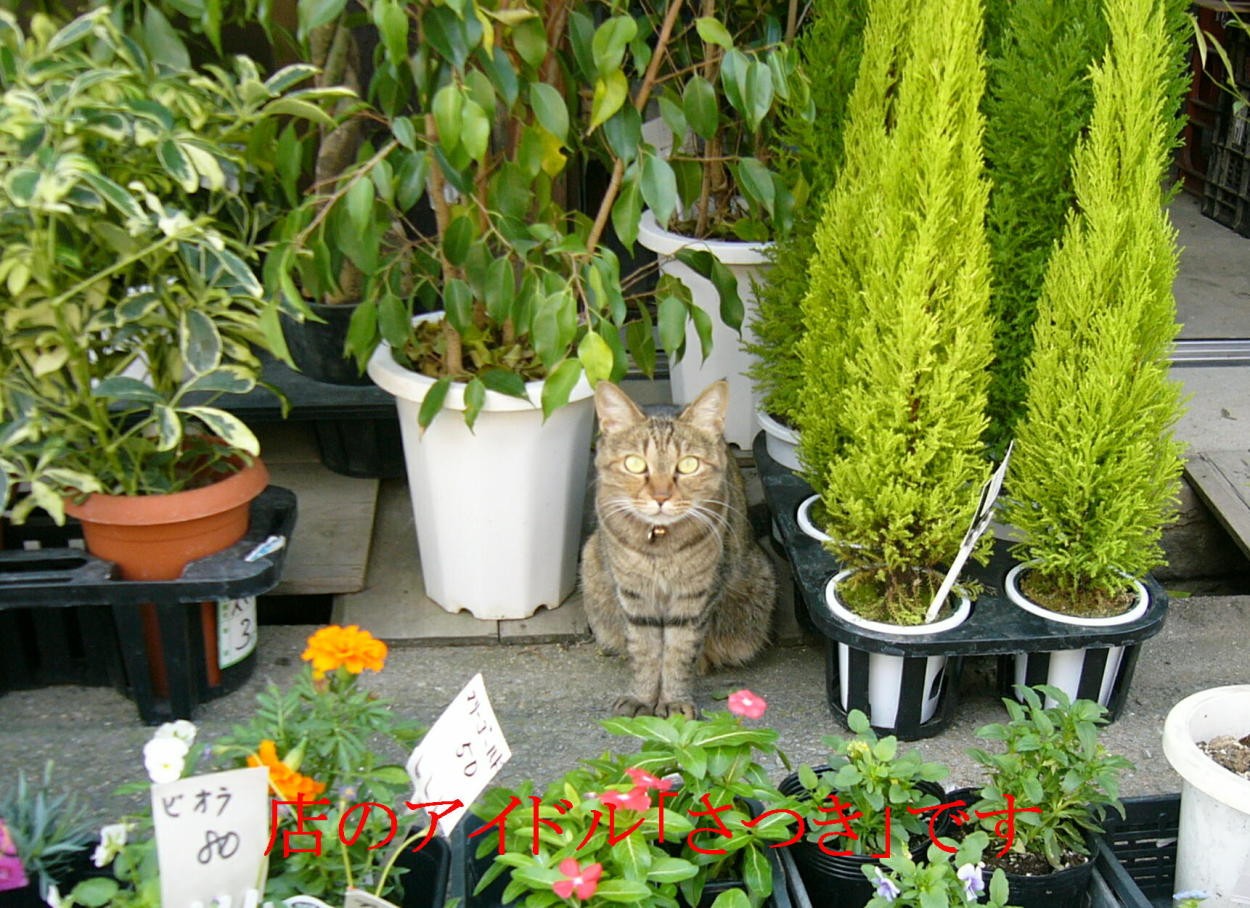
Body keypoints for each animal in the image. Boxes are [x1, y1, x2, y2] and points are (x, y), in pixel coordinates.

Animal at [580, 377, 775, 720]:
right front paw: (642, 697)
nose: (661, 496)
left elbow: (678, 651)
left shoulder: (695, 596)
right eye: (635, 464)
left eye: (688, 465)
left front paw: (673, 700)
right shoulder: (634, 595)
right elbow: (645, 649)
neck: (660, 544)